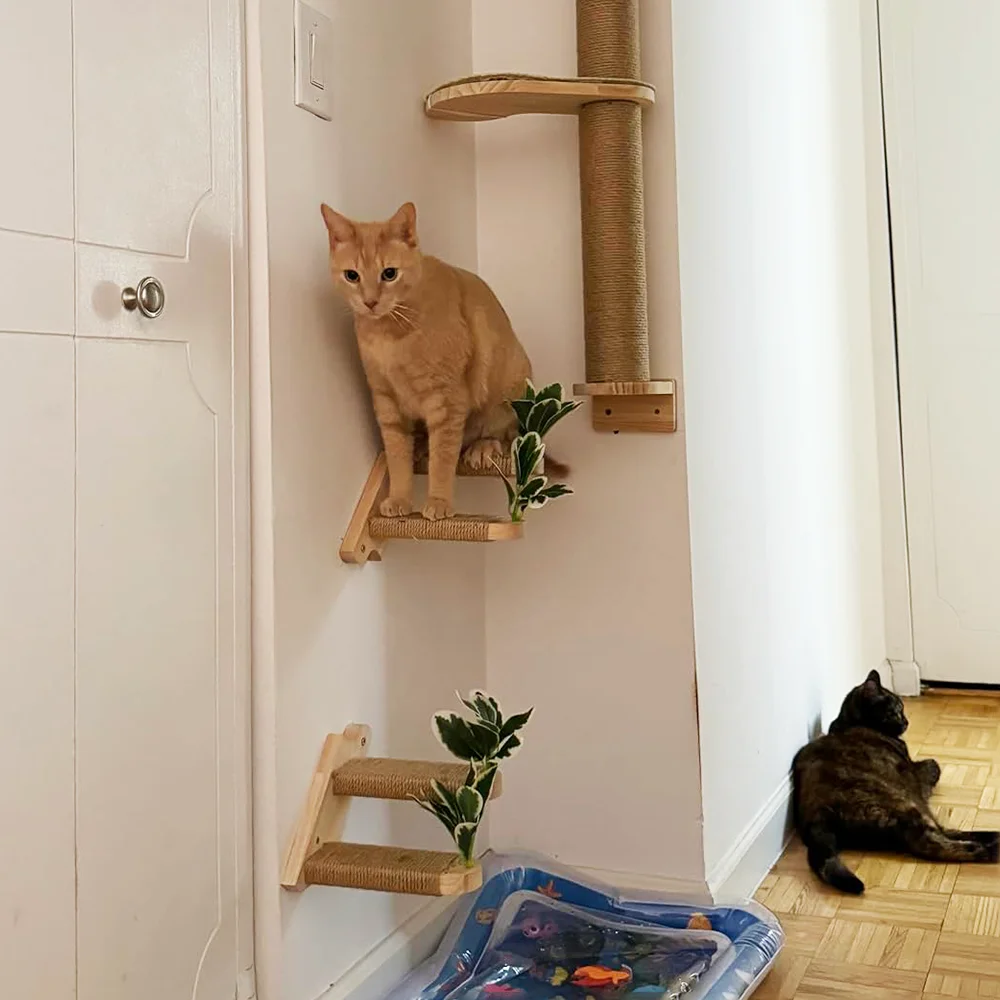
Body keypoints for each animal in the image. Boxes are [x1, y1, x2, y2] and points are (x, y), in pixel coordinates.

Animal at [321, 201, 533, 521]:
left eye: (389, 273)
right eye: (352, 276)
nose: (370, 302)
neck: (389, 334)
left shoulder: (446, 401)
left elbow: (442, 461)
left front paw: (439, 502)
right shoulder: (386, 403)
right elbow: (397, 458)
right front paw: (399, 498)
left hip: (511, 390)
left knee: (505, 434)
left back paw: (483, 447)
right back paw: (421, 445)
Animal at [792, 669, 1000, 894]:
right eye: (894, 712)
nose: (906, 721)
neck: (849, 723)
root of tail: (817, 817)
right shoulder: (914, 769)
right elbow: (934, 765)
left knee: (942, 832)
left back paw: (991, 837)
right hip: (905, 805)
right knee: (932, 842)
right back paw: (987, 849)